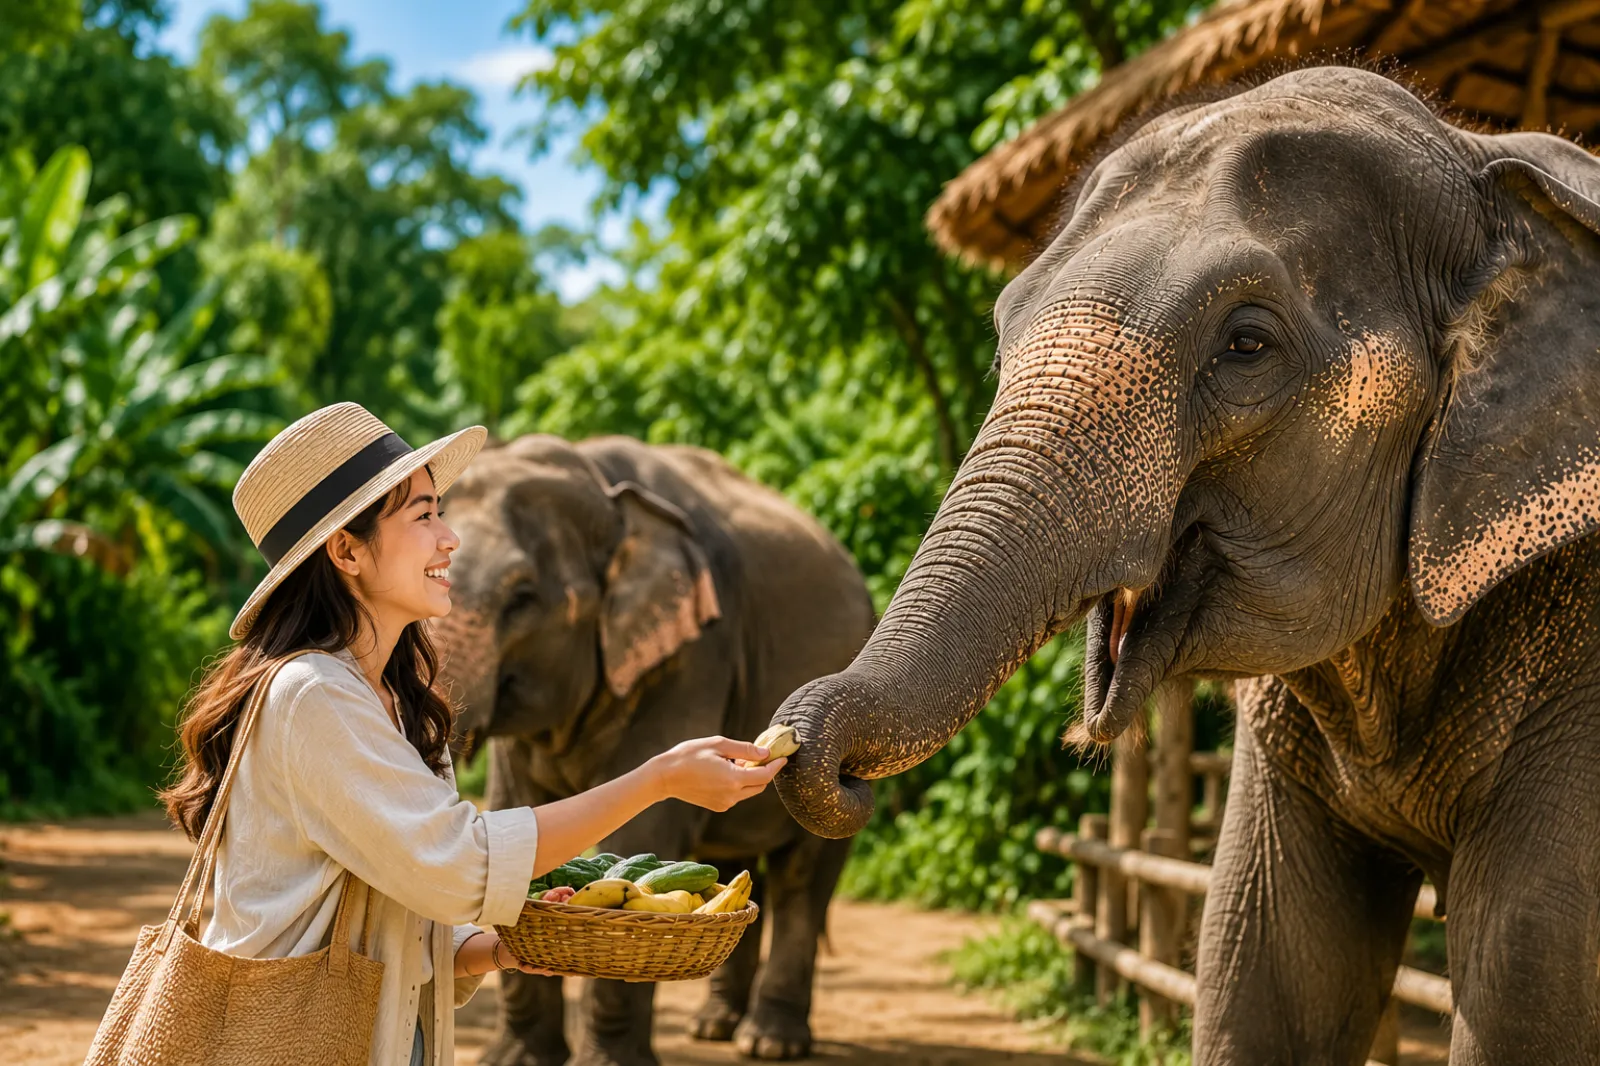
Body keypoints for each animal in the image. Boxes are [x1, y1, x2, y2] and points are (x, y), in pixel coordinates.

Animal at [431, 434, 875, 1066]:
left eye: (524, 598)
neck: (602, 485)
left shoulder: (696, 655)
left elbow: (647, 829)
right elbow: (517, 807)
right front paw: (515, 1061)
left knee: (801, 877)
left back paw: (769, 1042)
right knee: (745, 868)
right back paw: (713, 1028)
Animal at [769, 65, 1600, 1065]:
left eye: (1247, 345)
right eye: (1003, 333)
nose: (816, 761)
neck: (1482, 169)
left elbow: (1528, 973)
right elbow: (1264, 956)